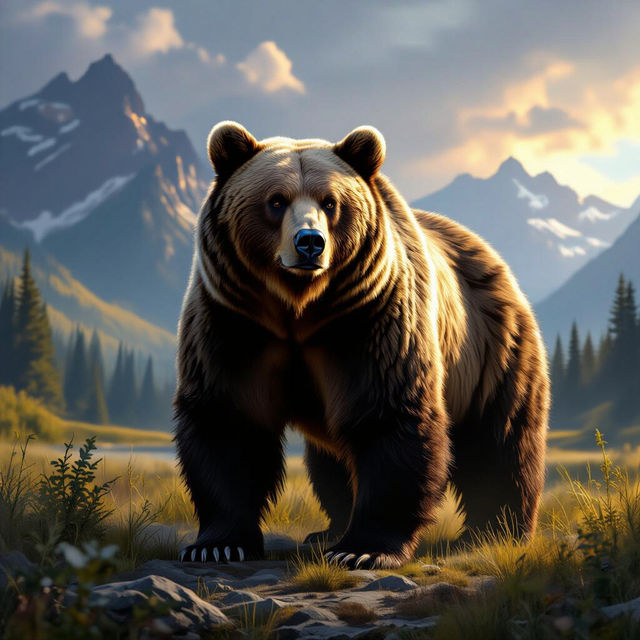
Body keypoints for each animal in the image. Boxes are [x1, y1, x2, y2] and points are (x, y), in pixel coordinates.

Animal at [173, 121, 549, 569]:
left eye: (330, 201)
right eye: (276, 200)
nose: (309, 242)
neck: (298, 310)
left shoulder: (372, 320)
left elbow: (389, 418)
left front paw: (362, 550)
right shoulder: (233, 323)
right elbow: (228, 421)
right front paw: (217, 544)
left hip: (492, 350)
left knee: (501, 440)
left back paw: (494, 530)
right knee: (330, 460)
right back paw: (329, 528)